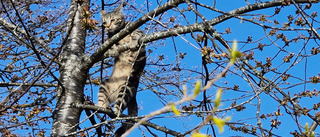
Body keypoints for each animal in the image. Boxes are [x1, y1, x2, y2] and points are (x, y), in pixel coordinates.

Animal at [98, 2, 147, 136]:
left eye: (113, 20)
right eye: (104, 22)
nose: (107, 26)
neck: (118, 32)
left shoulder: (138, 31)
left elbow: (135, 35)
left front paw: (132, 43)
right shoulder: (109, 39)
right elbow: (110, 43)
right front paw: (113, 50)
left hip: (126, 88)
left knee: (118, 109)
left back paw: (115, 112)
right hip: (105, 84)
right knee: (103, 101)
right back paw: (101, 106)